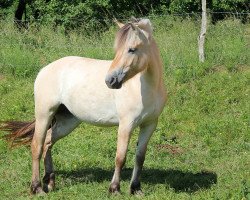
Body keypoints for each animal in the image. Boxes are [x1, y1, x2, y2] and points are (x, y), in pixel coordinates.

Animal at [1, 18, 168, 195]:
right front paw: (114, 189)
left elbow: (139, 157)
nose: (110, 81)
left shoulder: (149, 125)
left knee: (47, 142)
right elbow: (120, 157)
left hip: (67, 121)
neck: (145, 87)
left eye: (131, 49)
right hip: (44, 114)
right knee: (36, 145)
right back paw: (37, 188)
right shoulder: (126, 125)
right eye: (117, 50)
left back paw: (50, 182)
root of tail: (44, 70)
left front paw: (136, 188)